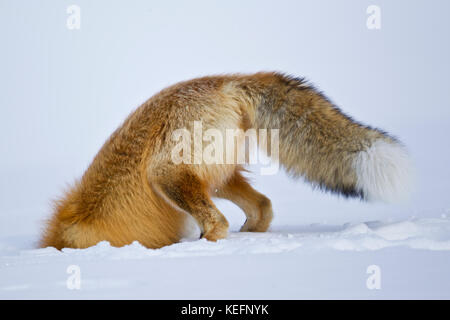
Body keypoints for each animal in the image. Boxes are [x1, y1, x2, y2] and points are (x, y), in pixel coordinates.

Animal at [40, 72, 414, 250]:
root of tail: (225, 82)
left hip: (166, 174)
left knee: (218, 222)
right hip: (216, 178)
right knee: (262, 206)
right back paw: (249, 238)